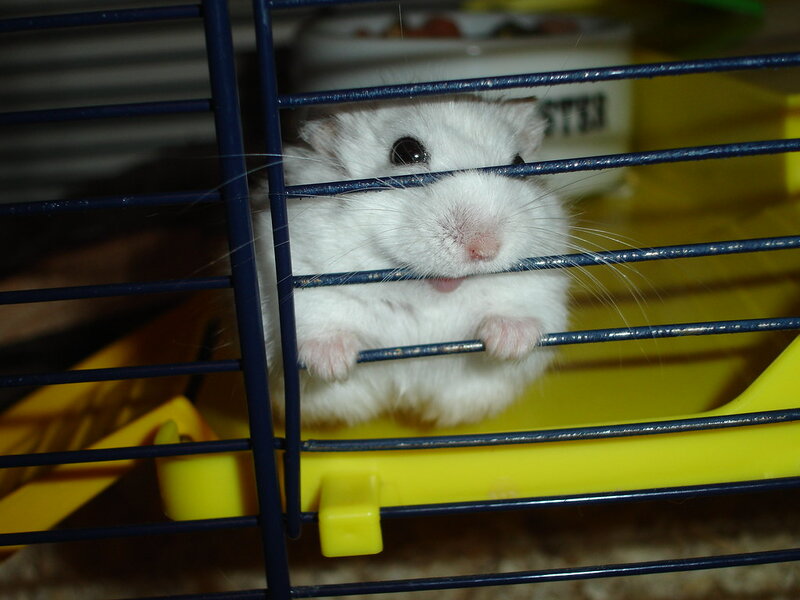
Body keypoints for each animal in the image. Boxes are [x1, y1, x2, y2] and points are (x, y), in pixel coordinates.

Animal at [254, 95, 570, 427]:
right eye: (405, 152)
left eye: (520, 163)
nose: (485, 248)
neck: (426, 296)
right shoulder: (294, 266)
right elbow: (318, 313)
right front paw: (333, 365)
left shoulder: (542, 286)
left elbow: (522, 308)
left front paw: (509, 344)